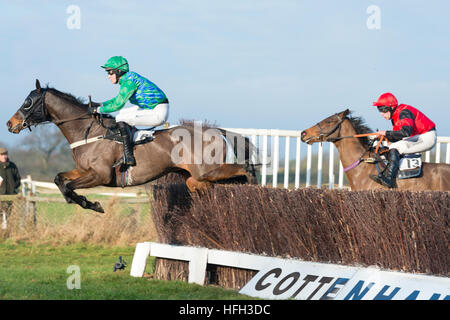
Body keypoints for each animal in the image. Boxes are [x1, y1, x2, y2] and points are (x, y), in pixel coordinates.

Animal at [7, 80, 258, 212]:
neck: (89, 132)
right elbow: (60, 179)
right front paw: (84, 201)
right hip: (196, 178)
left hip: (208, 170)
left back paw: (254, 188)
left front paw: (91, 203)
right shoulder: (83, 170)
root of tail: (216, 131)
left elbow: (69, 186)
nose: (11, 124)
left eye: (28, 102)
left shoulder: (100, 175)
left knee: (245, 170)